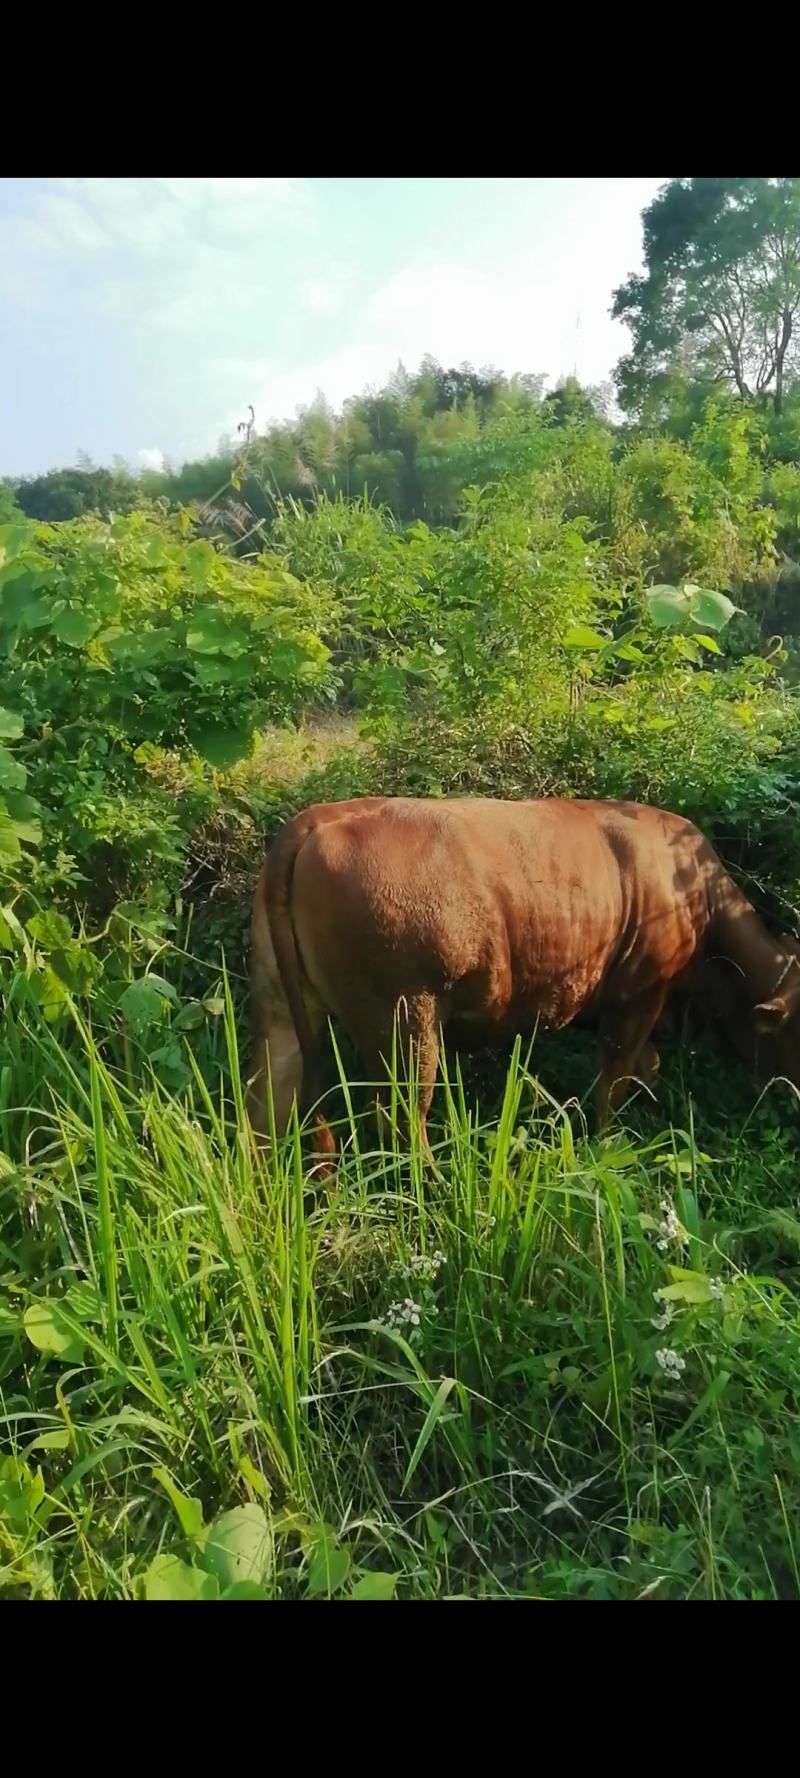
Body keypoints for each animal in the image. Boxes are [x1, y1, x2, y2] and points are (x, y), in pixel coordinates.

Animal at [247, 800, 800, 1159]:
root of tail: (317, 820)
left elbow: (645, 1068)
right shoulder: (640, 995)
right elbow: (615, 1078)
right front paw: (606, 1144)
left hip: (281, 1010)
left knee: (268, 1106)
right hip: (406, 1022)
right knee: (402, 1120)